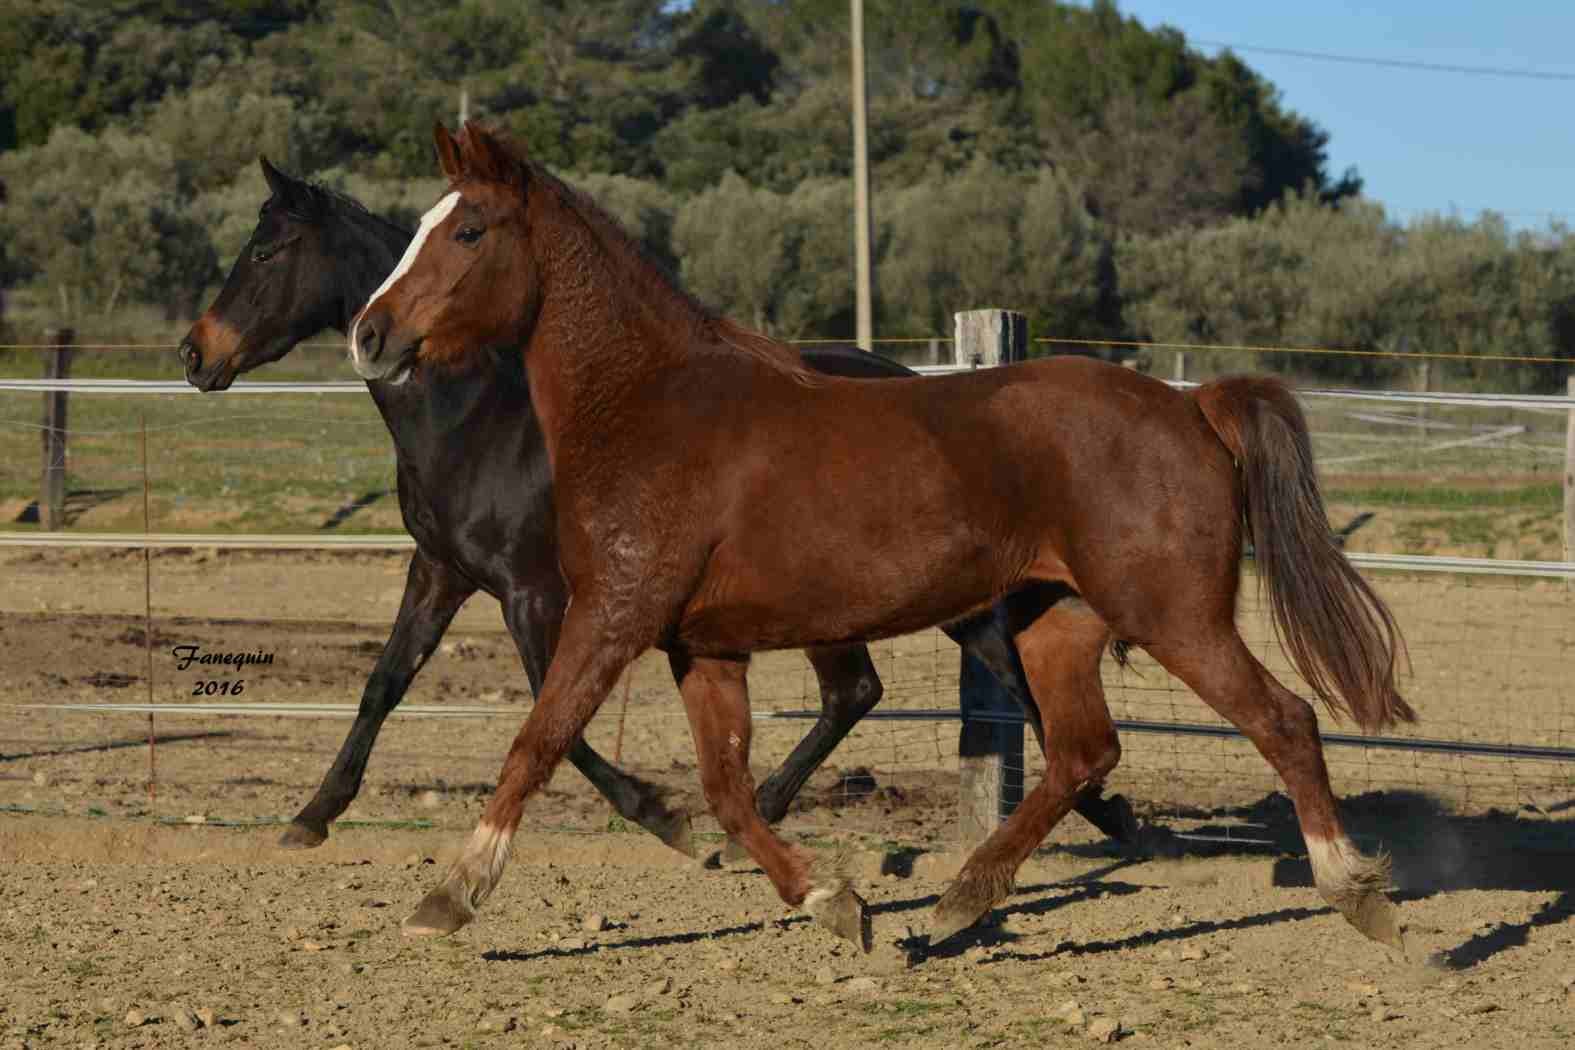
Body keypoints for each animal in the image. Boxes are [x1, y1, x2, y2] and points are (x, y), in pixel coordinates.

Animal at [175, 158, 1134, 862]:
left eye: (266, 250)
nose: (194, 352)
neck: (475, 417)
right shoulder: (442, 570)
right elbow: (383, 683)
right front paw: (312, 814)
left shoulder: (534, 591)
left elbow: (552, 710)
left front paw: (658, 812)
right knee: (926, 684)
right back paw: (1105, 814)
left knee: (891, 688)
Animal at [351, 125, 1411, 963]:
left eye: (468, 230)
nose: (369, 334)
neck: (650, 408)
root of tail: (1192, 407)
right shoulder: (703, 644)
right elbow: (726, 789)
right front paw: (834, 902)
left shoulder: (614, 613)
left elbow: (537, 740)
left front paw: (447, 898)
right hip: (1055, 622)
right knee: (1082, 751)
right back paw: (954, 906)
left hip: (1171, 613)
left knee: (1282, 720)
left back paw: (1357, 894)